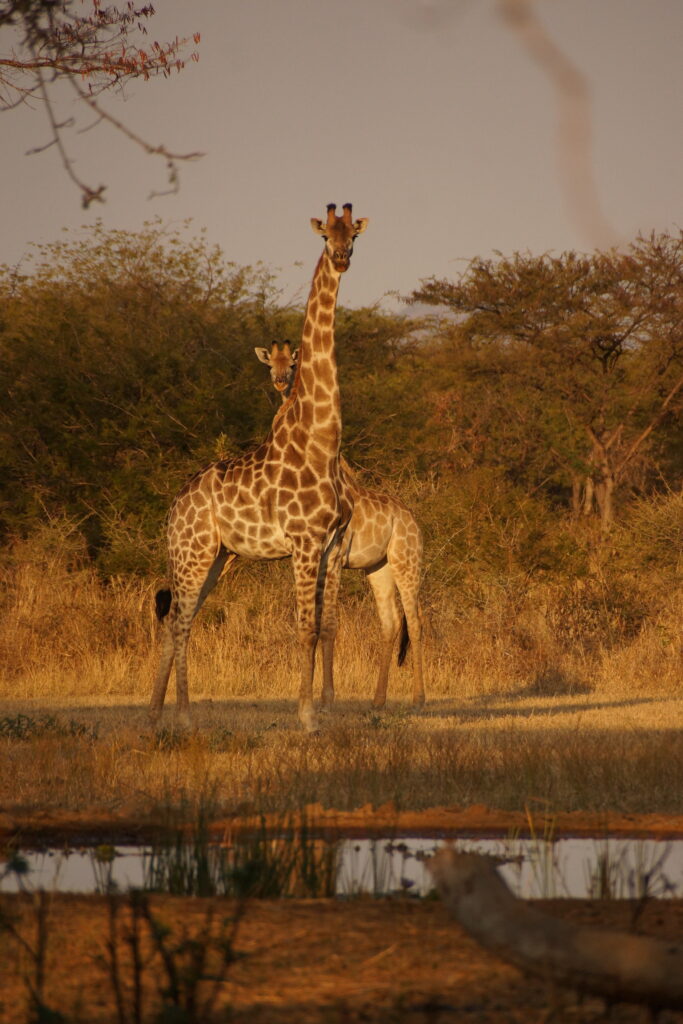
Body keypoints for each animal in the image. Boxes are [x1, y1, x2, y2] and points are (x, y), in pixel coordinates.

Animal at [149, 204, 367, 732]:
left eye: (353, 234)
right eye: (324, 235)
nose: (341, 258)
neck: (321, 440)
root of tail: (174, 507)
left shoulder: (331, 546)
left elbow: (323, 627)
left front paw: (319, 711)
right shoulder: (304, 543)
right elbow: (305, 629)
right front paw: (307, 717)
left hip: (217, 557)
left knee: (179, 618)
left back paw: (154, 715)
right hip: (192, 552)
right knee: (180, 620)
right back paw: (184, 717)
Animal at [255, 341, 425, 709]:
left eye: (292, 364)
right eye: (270, 364)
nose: (279, 381)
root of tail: (414, 523)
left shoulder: (331, 556)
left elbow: (328, 623)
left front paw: (323, 700)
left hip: (407, 561)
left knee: (416, 621)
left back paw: (419, 698)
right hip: (378, 567)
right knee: (391, 623)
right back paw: (377, 701)